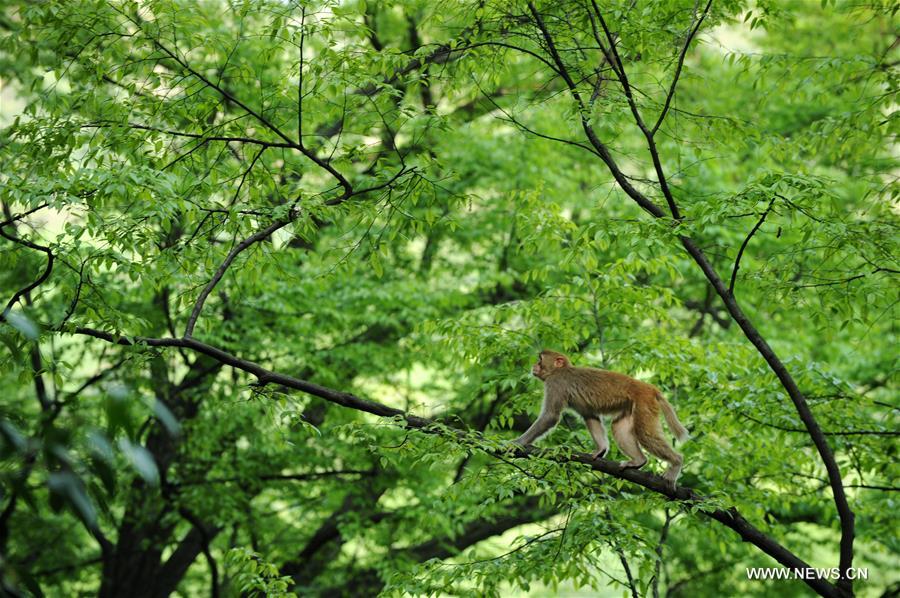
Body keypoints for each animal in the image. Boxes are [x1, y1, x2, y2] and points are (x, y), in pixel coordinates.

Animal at [515, 350, 689, 487]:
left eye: (540, 359)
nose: (534, 366)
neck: (559, 370)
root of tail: (649, 388)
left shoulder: (555, 384)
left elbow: (550, 416)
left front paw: (517, 443)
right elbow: (590, 415)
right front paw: (601, 449)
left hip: (644, 403)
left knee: (645, 434)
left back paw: (676, 463)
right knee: (618, 427)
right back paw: (638, 461)